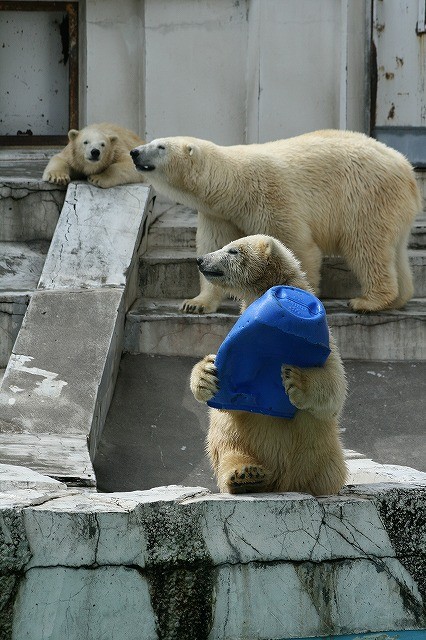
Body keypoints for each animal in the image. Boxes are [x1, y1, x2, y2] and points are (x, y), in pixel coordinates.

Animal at [131, 129, 422, 312]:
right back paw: (399, 299)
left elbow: (297, 246)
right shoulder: (218, 214)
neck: (233, 185)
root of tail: (407, 169)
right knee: (393, 249)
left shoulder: (271, 195)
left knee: (365, 245)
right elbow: (212, 245)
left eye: (160, 146)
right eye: (153, 141)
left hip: (364, 196)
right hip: (393, 207)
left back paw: (367, 302)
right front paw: (195, 303)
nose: (134, 152)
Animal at [188, 235, 348, 496]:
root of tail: (281, 483)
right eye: (225, 246)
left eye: (232, 250)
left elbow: (334, 385)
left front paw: (296, 380)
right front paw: (206, 373)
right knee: (227, 439)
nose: (201, 259)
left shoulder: (325, 338)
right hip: (239, 441)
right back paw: (245, 475)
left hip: (322, 455)